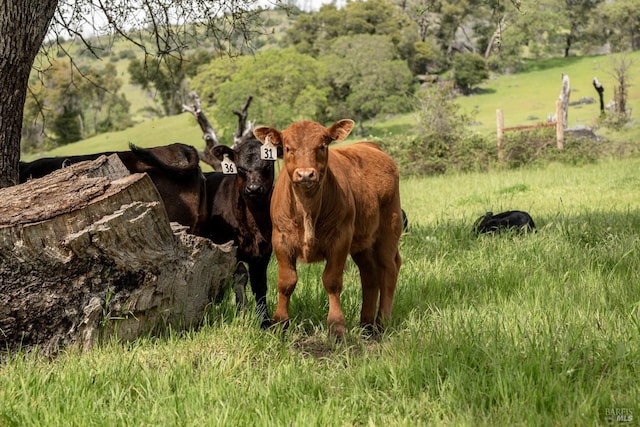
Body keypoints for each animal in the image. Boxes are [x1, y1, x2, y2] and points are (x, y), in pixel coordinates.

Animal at [202, 139, 276, 330]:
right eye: (240, 168)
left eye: (267, 166)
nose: (254, 188)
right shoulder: (229, 247)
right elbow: (240, 276)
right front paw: (241, 312)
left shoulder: (264, 252)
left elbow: (260, 285)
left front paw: (264, 321)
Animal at [254, 119, 400, 338]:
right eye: (288, 148)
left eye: (322, 146)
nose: (305, 174)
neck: (307, 209)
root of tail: (371, 146)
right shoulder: (280, 240)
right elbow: (286, 282)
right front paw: (279, 323)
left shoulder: (341, 239)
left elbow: (332, 281)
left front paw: (336, 326)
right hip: (363, 242)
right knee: (369, 274)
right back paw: (366, 324)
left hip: (389, 229)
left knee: (388, 269)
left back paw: (382, 323)